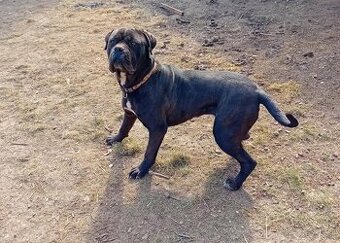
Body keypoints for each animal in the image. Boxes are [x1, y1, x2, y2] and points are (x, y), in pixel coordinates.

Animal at [104, 27, 298, 191]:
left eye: (133, 43)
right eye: (113, 41)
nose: (119, 50)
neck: (140, 80)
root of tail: (256, 89)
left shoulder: (157, 128)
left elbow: (149, 152)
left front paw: (141, 170)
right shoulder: (129, 113)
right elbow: (124, 127)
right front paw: (116, 139)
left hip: (222, 133)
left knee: (249, 162)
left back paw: (235, 184)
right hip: (230, 132)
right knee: (243, 143)